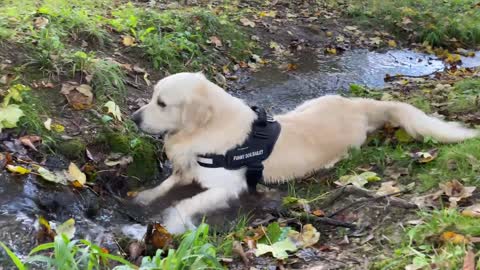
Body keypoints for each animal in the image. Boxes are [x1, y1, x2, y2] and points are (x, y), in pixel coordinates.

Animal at [131, 72, 480, 234]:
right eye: (152, 97)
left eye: (162, 103)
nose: (134, 118)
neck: (205, 130)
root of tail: (357, 106)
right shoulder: (189, 169)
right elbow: (165, 185)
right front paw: (143, 197)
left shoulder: (226, 187)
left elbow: (185, 203)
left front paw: (171, 221)